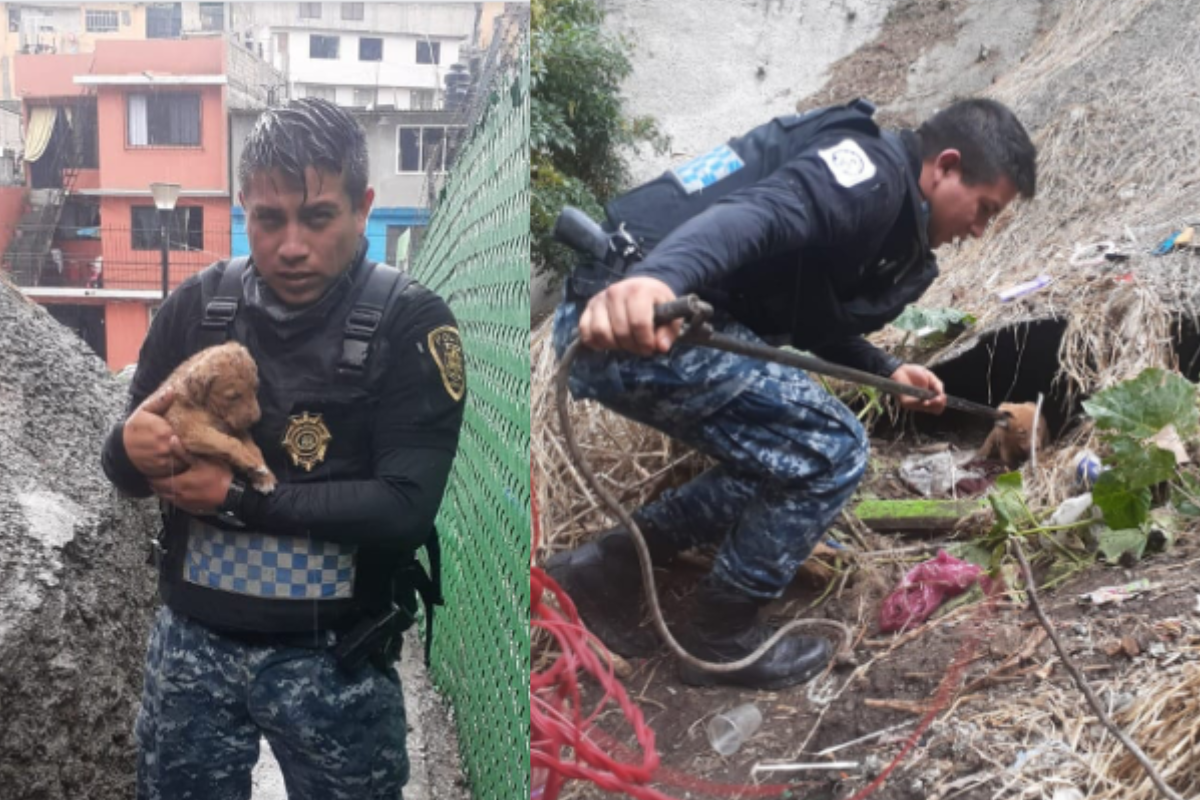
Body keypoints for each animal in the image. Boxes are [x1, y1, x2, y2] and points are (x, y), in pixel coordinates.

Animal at [160, 345, 277, 494]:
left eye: (256, 388)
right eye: (233, 397)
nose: (256, 420)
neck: (208, 408)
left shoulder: (236, 427)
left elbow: (254, 447)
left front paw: (265, 476)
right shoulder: (190, 429)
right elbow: (229, 442)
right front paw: (253, 463)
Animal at [549, 98, 1036, 690]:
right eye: (985, 206)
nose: (980, 227)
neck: (905, 165)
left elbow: (827, 334)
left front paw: (916, 384)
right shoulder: (859, 188)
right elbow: (772, 210)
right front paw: (638, 298)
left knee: (745, 478)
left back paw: (601, 571)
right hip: (700, 374)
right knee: (826, 452)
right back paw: (733, 651)